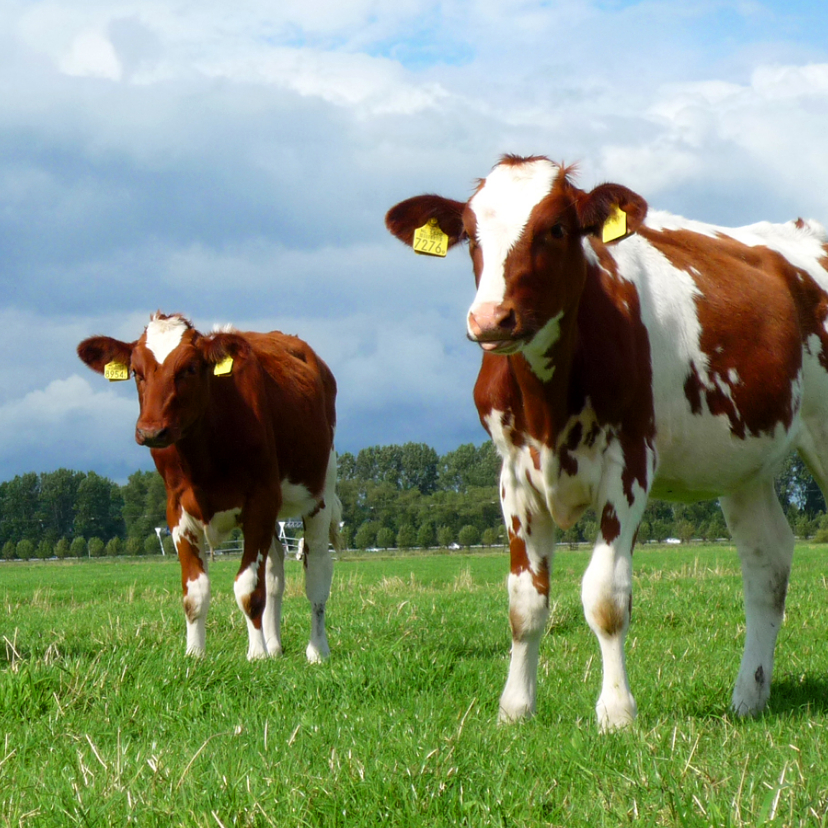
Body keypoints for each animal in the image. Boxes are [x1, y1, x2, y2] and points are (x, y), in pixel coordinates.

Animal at [77, 314, 336, 664]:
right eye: (136, 372)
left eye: (189, 368)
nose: (151, 431)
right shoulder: (177, 510)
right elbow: (195, 592)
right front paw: (195, 654)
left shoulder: (260, 501)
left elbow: (248, 588)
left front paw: (256, 654)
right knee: (275, 571)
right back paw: (274, 645)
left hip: (320, 492)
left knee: (317, 572)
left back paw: (316, 649)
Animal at [386, 154, 828, 724]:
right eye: (469, 233)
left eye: (555, 229)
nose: (490, 319)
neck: (549, 405)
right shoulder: (514, 474)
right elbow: (524, 603)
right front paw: (515, 708)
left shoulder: (629, 462)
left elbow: (605, 598)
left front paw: (616, 711)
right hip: (744, 462)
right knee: (767, 563)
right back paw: (749, 697)